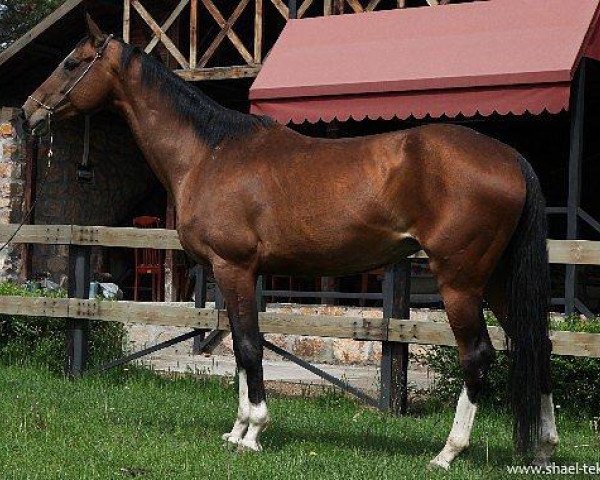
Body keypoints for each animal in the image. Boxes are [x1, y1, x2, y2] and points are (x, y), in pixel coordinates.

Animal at [19, 15, 556, 468]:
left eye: (70, 63)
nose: (27, 114)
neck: (210, 153)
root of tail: (509, 157)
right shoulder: (234, 273)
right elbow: (240, 345)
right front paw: (236, 430)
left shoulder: (233, 266)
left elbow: (249, 346)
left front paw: (254, 432)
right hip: (497, 280)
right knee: (539, 343)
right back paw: (545, 445)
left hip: (460, 282)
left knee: (478, 356)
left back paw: (448, 452)